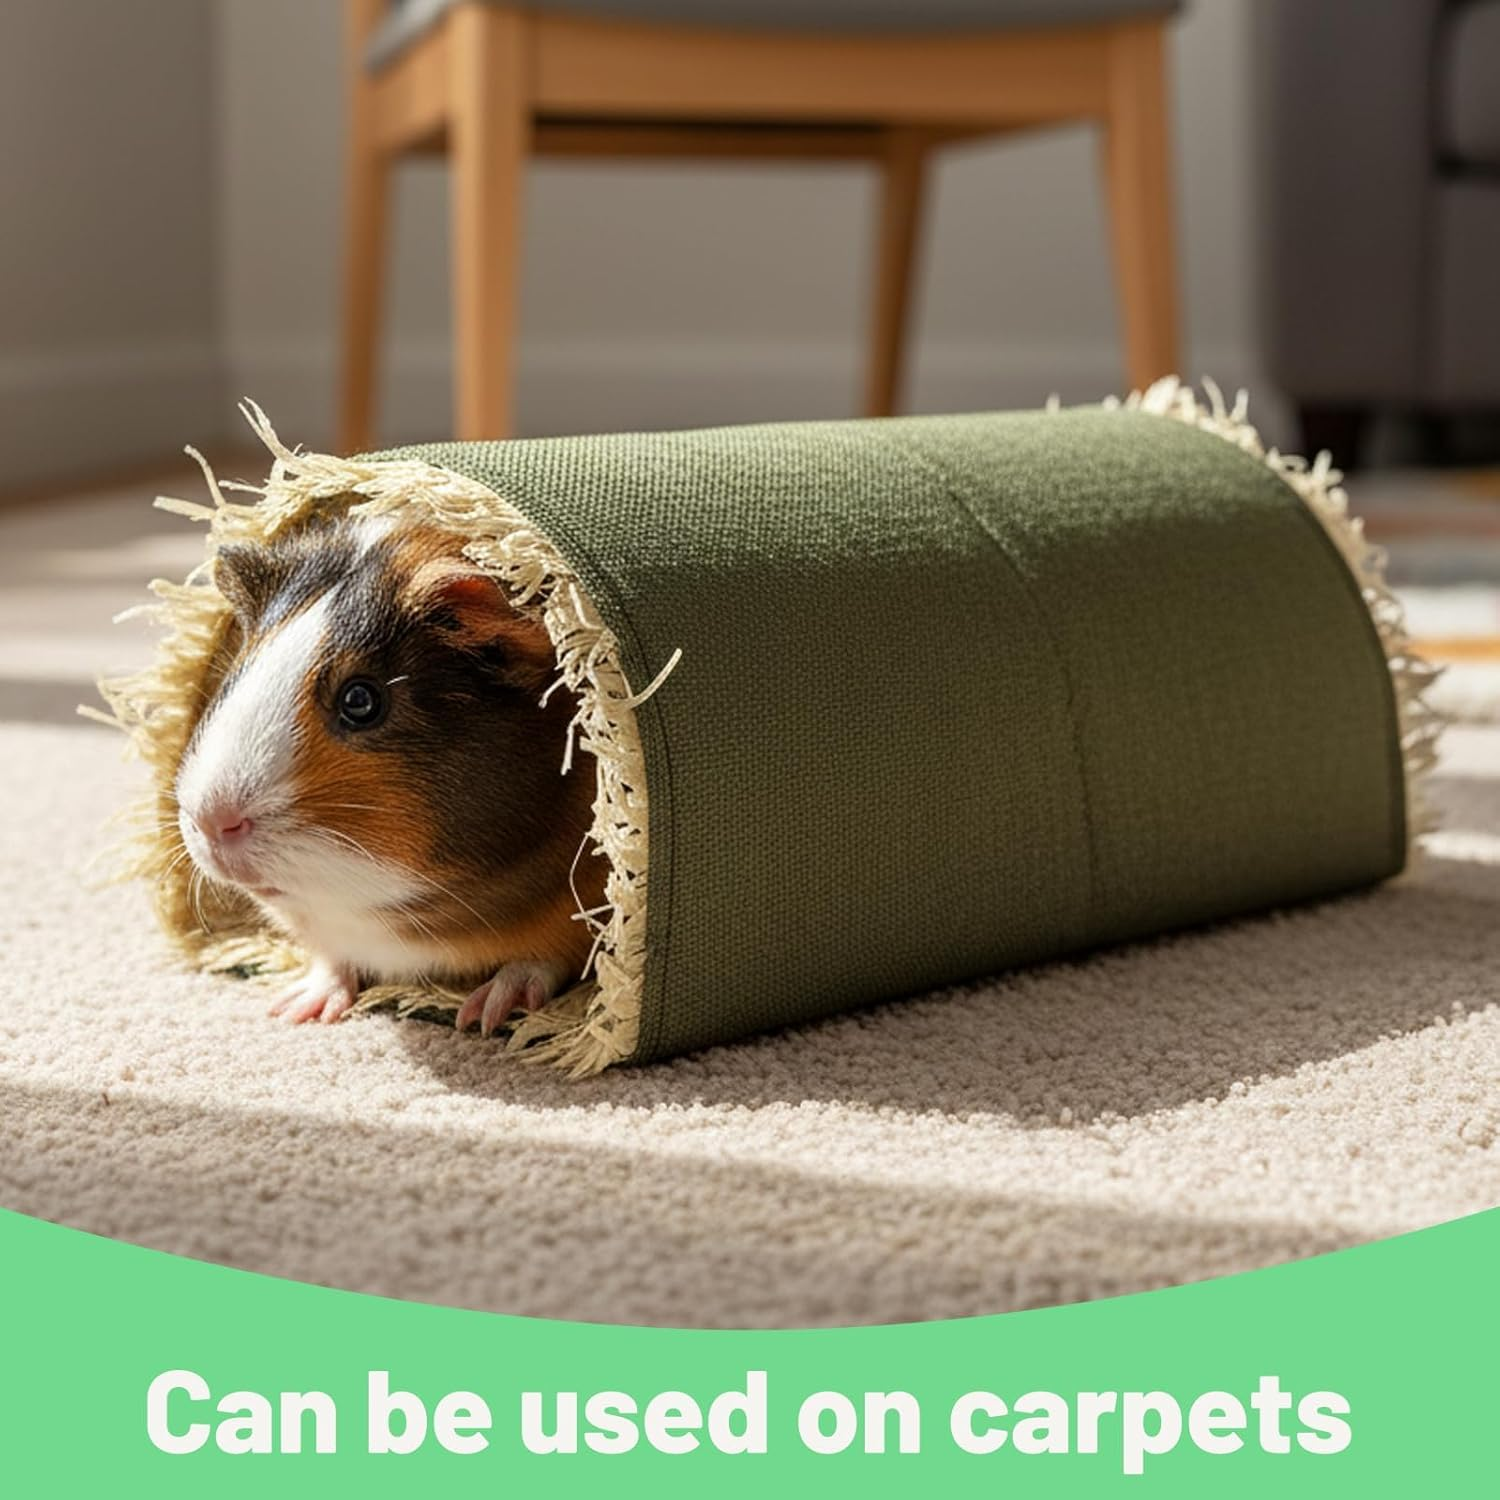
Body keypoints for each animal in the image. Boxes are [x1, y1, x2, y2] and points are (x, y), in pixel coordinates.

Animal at [173, 510, 601, 1034]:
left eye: (361, 700)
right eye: (240, 668)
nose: (213, 821)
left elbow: (542, 958)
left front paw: (482, 1014)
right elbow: (334, 959)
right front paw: (299, 1008)